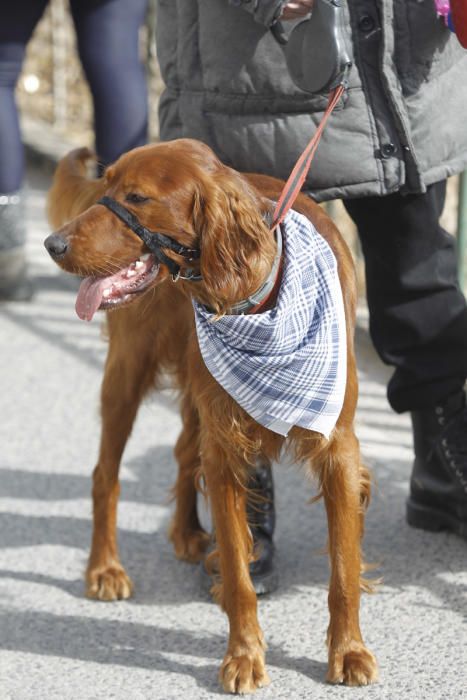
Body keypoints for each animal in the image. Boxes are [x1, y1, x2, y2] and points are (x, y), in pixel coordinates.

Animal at [45, 139, 378, 692]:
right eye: (107, 183)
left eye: (137, 197)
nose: (53, 244)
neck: (260, 297)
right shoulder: (226, 449)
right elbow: (241, 581)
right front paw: (243, 657)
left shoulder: (338, 448)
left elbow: (343, 569)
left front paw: (349, 651)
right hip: (128, 372)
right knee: (105, 473)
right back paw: (105, 569)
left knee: (183, 453)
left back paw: (185, 533)